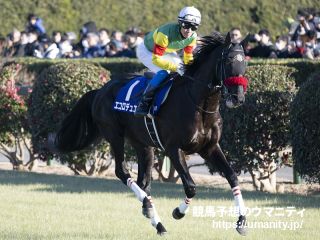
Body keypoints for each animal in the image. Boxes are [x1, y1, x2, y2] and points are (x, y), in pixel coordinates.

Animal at [52, 32, 250, 236]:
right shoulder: (173, 149)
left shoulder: (209, 147)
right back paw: (153, 213)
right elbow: (191, 187)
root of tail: (100, 90)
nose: (238, 97)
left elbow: (232, 177)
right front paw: (178, 212)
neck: (199, 104)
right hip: (115, 136)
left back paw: (153, 216)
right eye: (228, 60)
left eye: (245, 62)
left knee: (144, 181)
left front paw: (241, 221)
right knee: (122, 171)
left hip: (143, 145)